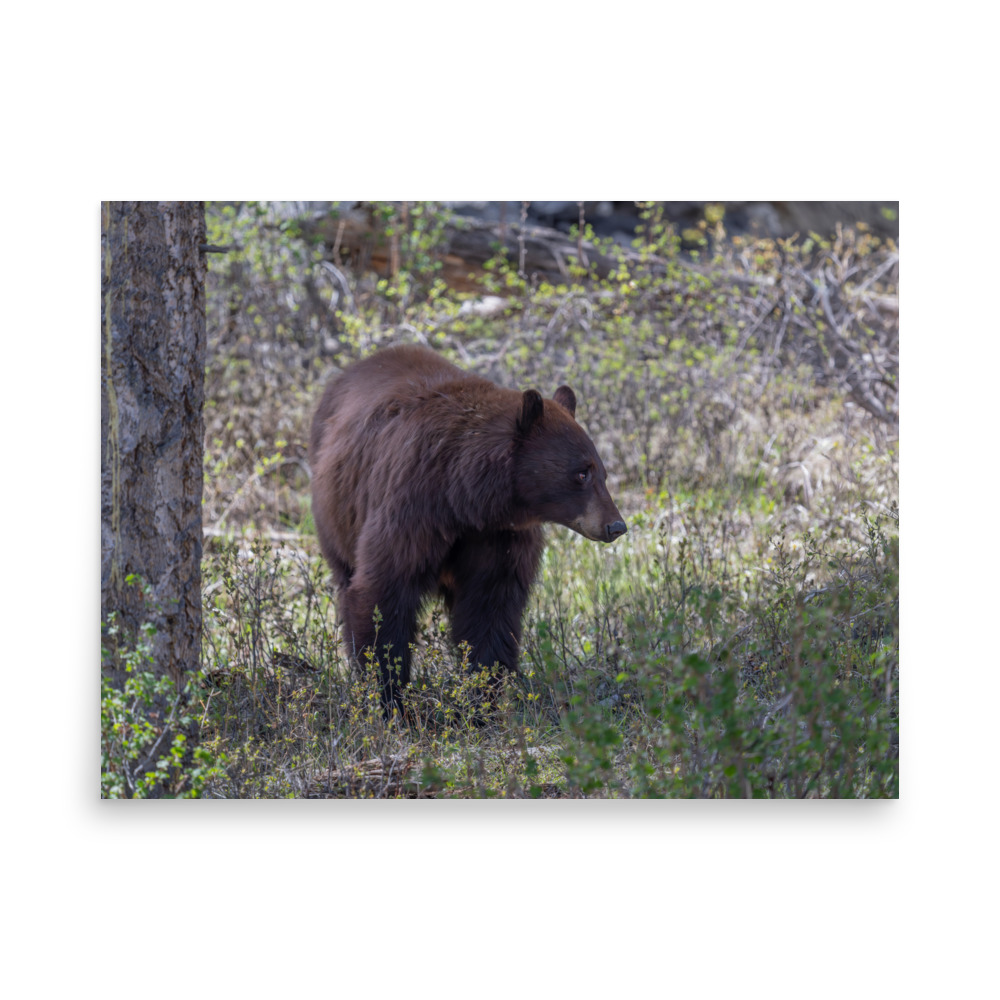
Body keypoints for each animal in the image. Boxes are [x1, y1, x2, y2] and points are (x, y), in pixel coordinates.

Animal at [308, 343, 627, 715]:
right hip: (336, 514)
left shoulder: (499, 536)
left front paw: (482, 700)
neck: (465, 498)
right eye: (581, 473)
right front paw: (390, 700)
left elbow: (490, 608)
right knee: (346, 581)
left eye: (602, 472)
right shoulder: (411, 508)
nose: (616, 525)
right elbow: (383, 592)